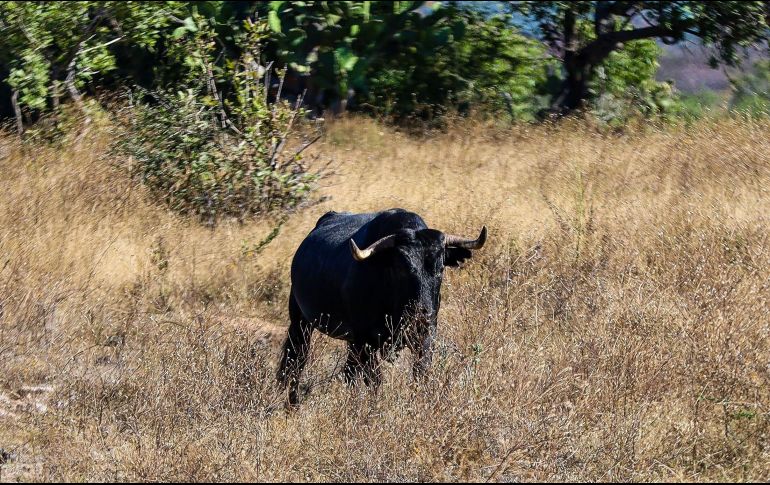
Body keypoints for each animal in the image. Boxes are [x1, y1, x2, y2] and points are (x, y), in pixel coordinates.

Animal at [276, 207, 484, 400]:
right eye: (401, 267)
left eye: (440, 267)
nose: (422, 312)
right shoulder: (364, 340)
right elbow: (374, 380)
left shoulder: (425, 333)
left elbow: (420, 372)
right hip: (300, 323)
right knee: (295, 363)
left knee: (348, 372)